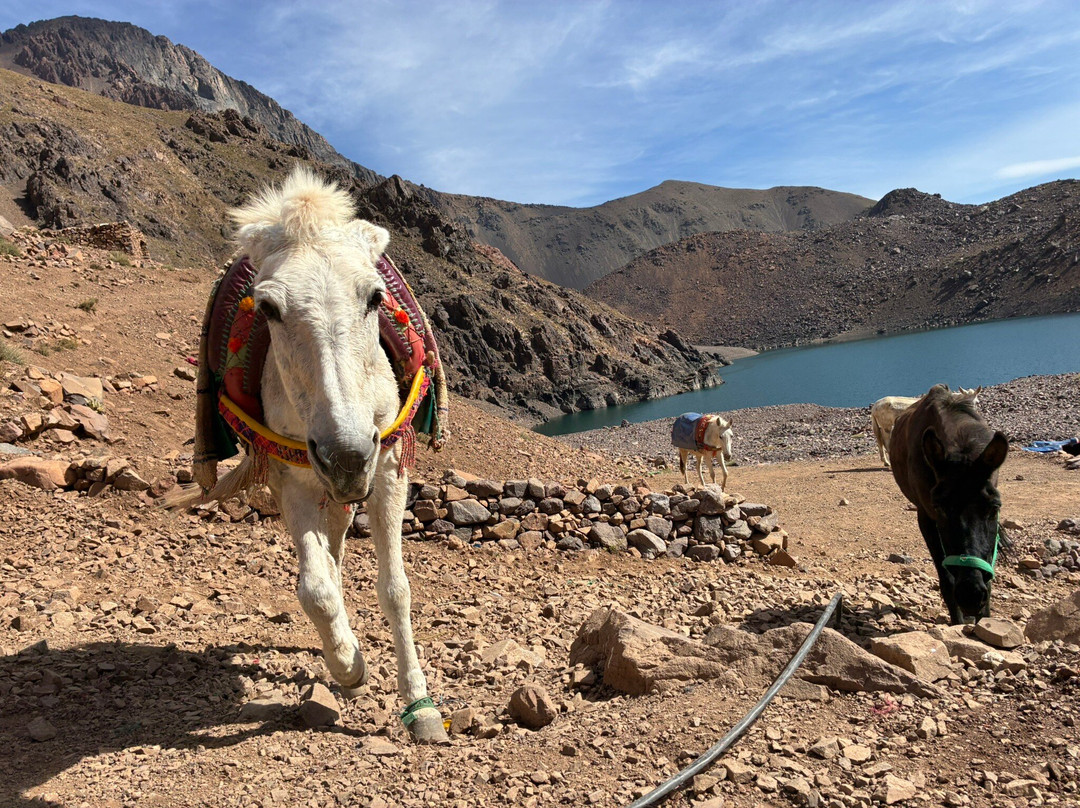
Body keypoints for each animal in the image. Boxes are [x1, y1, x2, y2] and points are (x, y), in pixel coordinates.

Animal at [168, 168, 448, 742]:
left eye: (374, 298)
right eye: (269, 308)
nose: (347, 455)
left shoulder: (388, 468)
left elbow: (395, 588)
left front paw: (421, 705)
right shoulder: (292, 477)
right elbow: (314, 589)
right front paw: (350, 666)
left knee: (340, 540)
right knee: (329, 558)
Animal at [889, 384, 1007, 624]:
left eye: (994, 507)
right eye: (940, 508)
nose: (971, 595)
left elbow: (989, 578)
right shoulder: (925, 517)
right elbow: (947, 580)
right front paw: (959, 623)